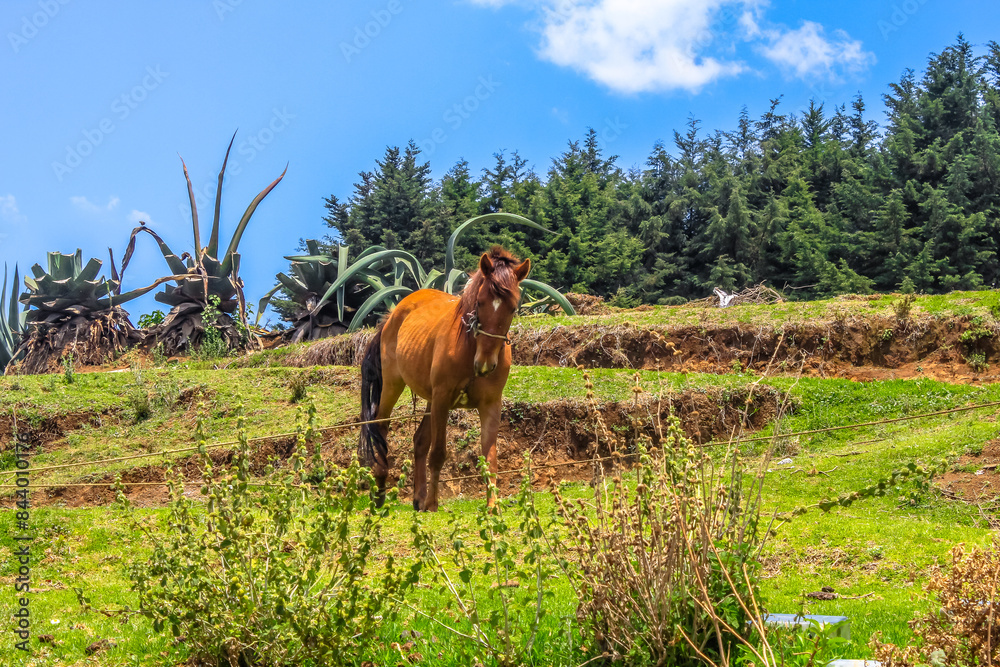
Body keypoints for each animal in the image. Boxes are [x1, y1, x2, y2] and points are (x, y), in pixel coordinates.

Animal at [357, 246, 531, 511]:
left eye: (512, 308)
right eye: (480, 303)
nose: (485, 364)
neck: (471, 350)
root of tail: (394, 313)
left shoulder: (491, 404)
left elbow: (490, 458)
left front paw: (493, 505)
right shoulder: (442, 398)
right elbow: (438, 454)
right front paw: (432, 503)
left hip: (429, 400)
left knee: (419, 440)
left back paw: (418, 497)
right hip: (394, 385)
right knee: (381, 427)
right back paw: (380, 491)